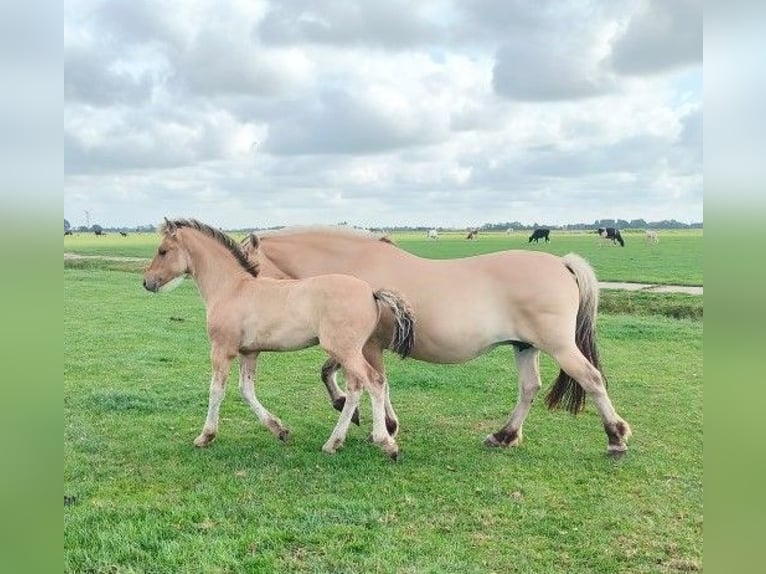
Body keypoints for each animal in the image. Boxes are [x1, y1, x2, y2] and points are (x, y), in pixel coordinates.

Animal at [143, 219, 415, 460]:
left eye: (162, 250)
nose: (147, 282)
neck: (232, 289)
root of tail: (372, 293)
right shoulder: (249, 352)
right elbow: (246, 390)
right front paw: (279, 430)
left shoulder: (222, 349)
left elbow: (216, 390)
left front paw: (205, 436)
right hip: (348, 352)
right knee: (356, 388)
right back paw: (333, 443)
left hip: (344, 351)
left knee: (374, 382)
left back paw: (385, 443)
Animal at [249, 226, 632, 455]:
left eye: (246, 263)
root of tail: (562, 264)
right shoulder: (358, 345)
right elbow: (341, 373)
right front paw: (362, 414)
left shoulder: (367, 346)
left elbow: (372, 381)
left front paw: (379, 425)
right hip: (525, 347)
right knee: (529, 388)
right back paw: (504, 435)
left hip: (560, 347)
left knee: (592, 379)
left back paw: (615, 437)